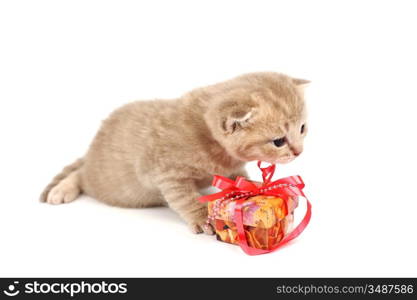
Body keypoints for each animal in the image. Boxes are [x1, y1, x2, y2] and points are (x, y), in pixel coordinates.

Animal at [40, 72, 308, 234]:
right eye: (278, 141)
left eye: (303, 128)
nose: (299, 151)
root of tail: (93, 146)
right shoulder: (168, 175)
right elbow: (186, 199)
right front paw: (201, 217)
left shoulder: (231, 167)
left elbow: (237, 180)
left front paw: (255, 187)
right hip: (107, 182)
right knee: (80, 174)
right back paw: (61, 190)